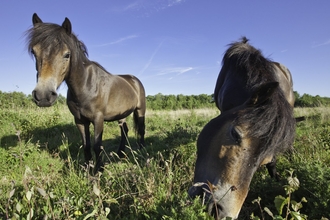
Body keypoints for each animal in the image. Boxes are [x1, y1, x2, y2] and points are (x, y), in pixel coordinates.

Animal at [27, 13, 146, 172]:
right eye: (34, 52)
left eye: (67, 54)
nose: (43, 96)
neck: (86, 85)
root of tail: (134, 80)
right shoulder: (80, 121)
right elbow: (86, 146)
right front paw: (88, 170)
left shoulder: (98, 119)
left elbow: (97, 146)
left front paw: (99, 170)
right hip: (121, 115)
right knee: (124, 131)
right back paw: (121, 154)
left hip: (140, 110)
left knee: (141, 130)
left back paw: (141, 151)